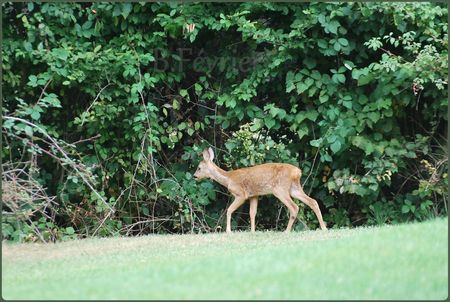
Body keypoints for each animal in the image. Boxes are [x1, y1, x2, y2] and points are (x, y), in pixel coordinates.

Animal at [193, 147, 326, 232]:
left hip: (280, 189)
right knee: (313, 201)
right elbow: (252, 213)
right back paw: (324, 228)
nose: (194, 176)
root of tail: (297, 172)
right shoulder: (254, 195)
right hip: (294, 188)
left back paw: (286, 231)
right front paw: (252, 232)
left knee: (294, 207)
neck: (228, 178)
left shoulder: (241, 194)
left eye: (199, 168)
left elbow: (229, 210)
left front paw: (228, 231)